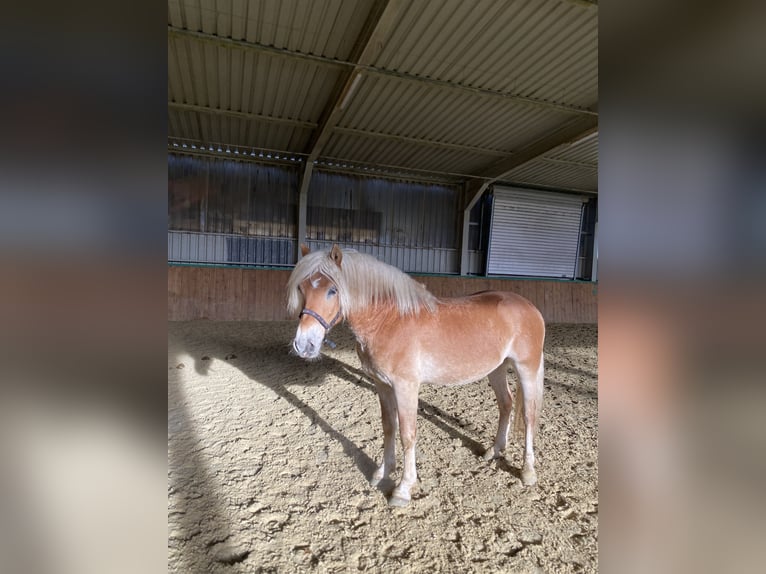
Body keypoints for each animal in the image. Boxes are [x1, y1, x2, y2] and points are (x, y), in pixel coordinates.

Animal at [288, 245, 544, 506]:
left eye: (332, 290)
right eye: (302, 288)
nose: (304, 345)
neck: (389, 320)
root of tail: (529, 306)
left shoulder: (406, 387)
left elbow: (407, 434)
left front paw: (403, 489)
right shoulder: (382, 385)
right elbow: (389, 427)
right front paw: (382, 472)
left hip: (526, 368)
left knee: (529, 415)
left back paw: (528, 471)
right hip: (496, 369)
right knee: (506, 404)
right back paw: (494, 450)